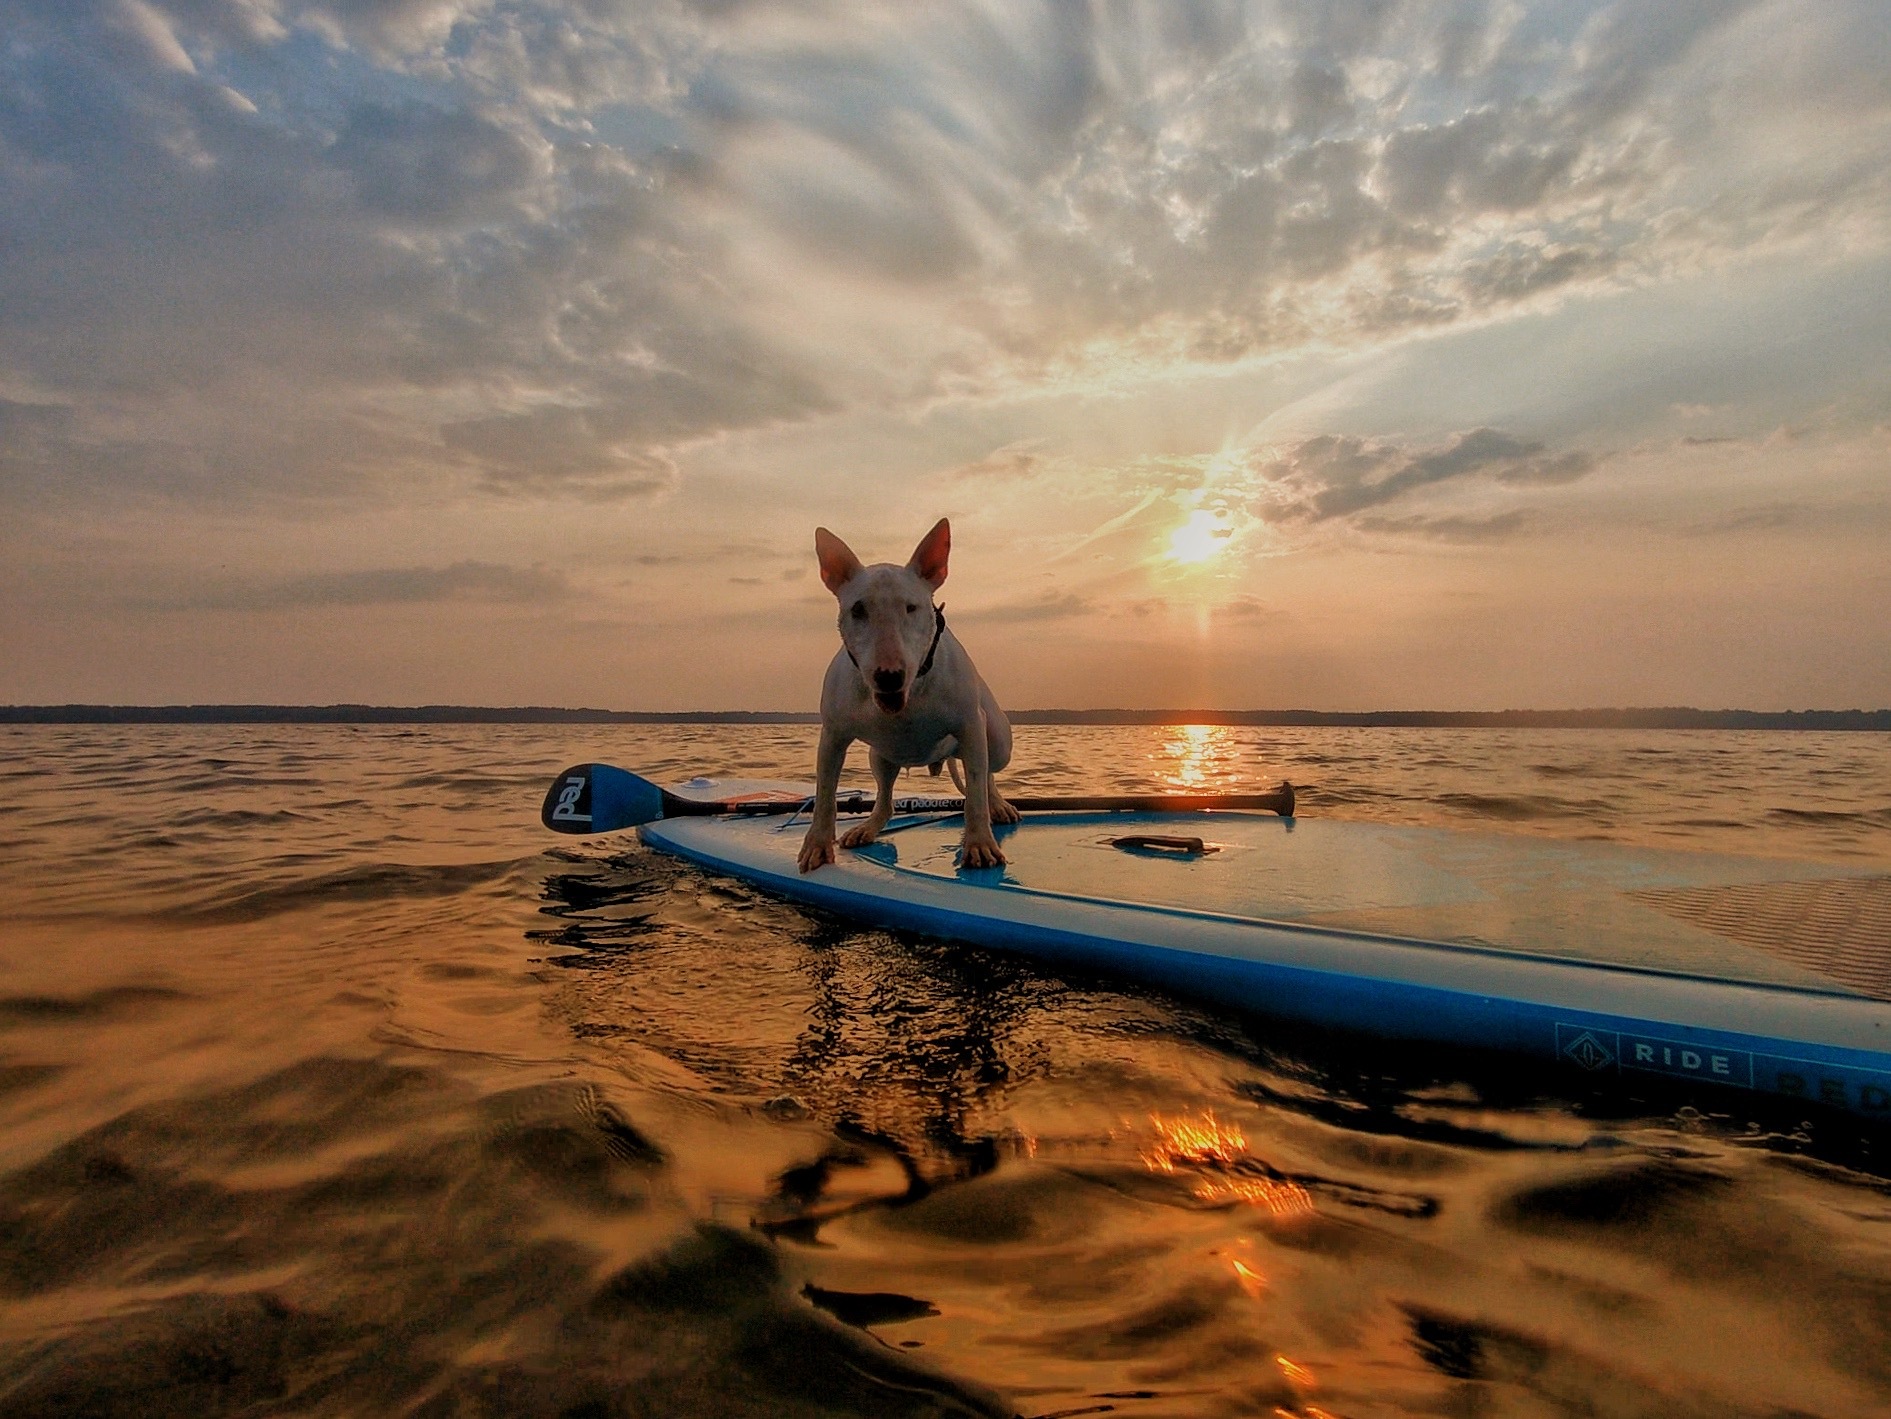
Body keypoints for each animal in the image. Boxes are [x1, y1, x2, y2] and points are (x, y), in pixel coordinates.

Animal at [798, 518, 1021, 874]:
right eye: (857, 609)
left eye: (912, 607)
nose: (888, 676)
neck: (910, 695)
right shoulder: (832, 735)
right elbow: (824, 794)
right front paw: (817, 845)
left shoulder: (971, 725)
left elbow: (975, 794)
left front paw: (980, 845)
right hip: (879, 756)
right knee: (885, 799)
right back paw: (866, 828)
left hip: (997, 741)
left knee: (987, 773)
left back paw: (998, 805)